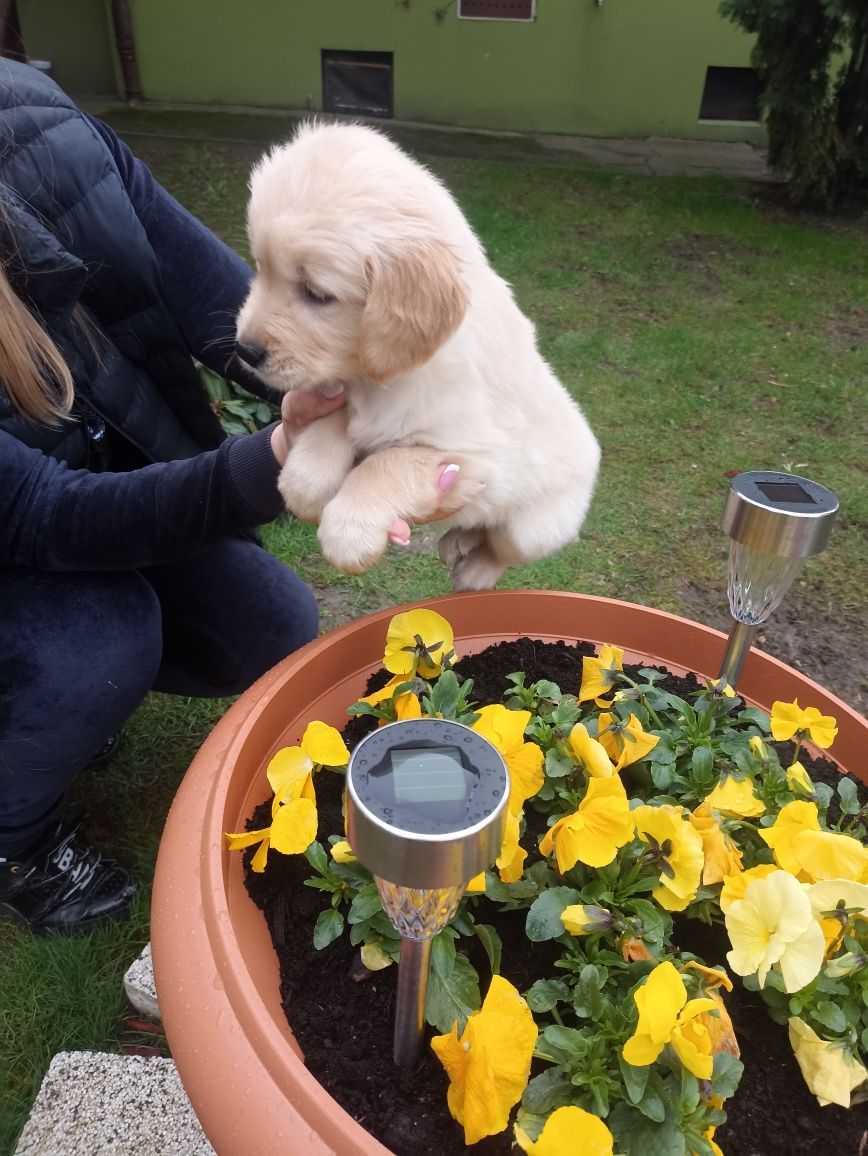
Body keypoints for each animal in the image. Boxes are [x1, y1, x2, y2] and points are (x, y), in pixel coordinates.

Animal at [238, 123, 605, 591]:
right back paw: (456, 542)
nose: (244, 350)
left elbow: (387, 463)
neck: (378, 377)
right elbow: (335, 422)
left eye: (316, 294)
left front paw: (348, 532)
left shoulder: (471, 456)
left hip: (533, 525)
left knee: (500, 545)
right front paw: (307, 480)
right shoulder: (343, 395)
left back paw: (473, 571)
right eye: (260, 268)